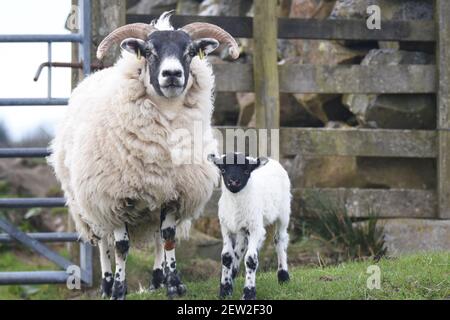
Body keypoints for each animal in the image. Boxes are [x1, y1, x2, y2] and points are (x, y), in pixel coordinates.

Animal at [48, 10, 239, 300]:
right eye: (148, 51)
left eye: (190, 51)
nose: (172, 74)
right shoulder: (114, 198)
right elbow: (121, 247)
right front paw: (118, 289)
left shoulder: (173, 194)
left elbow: (168, 237)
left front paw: (173, 284)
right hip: (90, 206)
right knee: (104, 243)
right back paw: (106, 285)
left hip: (151, 203)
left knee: (158, 239)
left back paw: (156, 281)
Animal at [208, 152, 292, 300]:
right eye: (223, 170)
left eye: (246, 171)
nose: (233, 182)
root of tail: (272, 160)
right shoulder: (225, 227)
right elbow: (227, 256)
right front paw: (225, 290)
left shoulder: (255, 228)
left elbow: (251, 259)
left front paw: (249, 293)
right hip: (243, 228)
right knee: (240, 248)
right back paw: (233, 275)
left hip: (283, 211)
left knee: (280, 239)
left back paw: (283, 276)